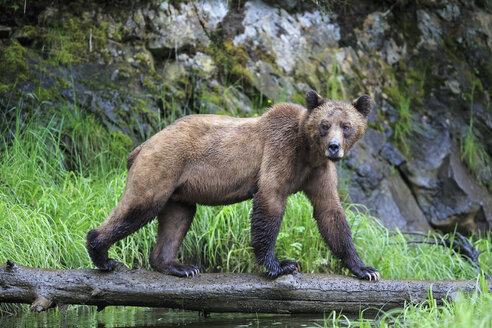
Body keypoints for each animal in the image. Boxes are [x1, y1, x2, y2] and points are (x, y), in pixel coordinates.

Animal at [86, 89, 380, 280]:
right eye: (324, 124)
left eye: (346, 125)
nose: (334, 147)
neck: (308, 151)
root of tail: (142, 145)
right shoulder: (280, 152)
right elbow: (270, 199)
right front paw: (280, 265)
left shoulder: (318, 172)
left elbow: (330, 212)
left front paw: (365, 269)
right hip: (162, 166)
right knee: (138, 206)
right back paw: (102, 254)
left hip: (178, 191)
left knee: (177, 218)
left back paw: (178, 265)